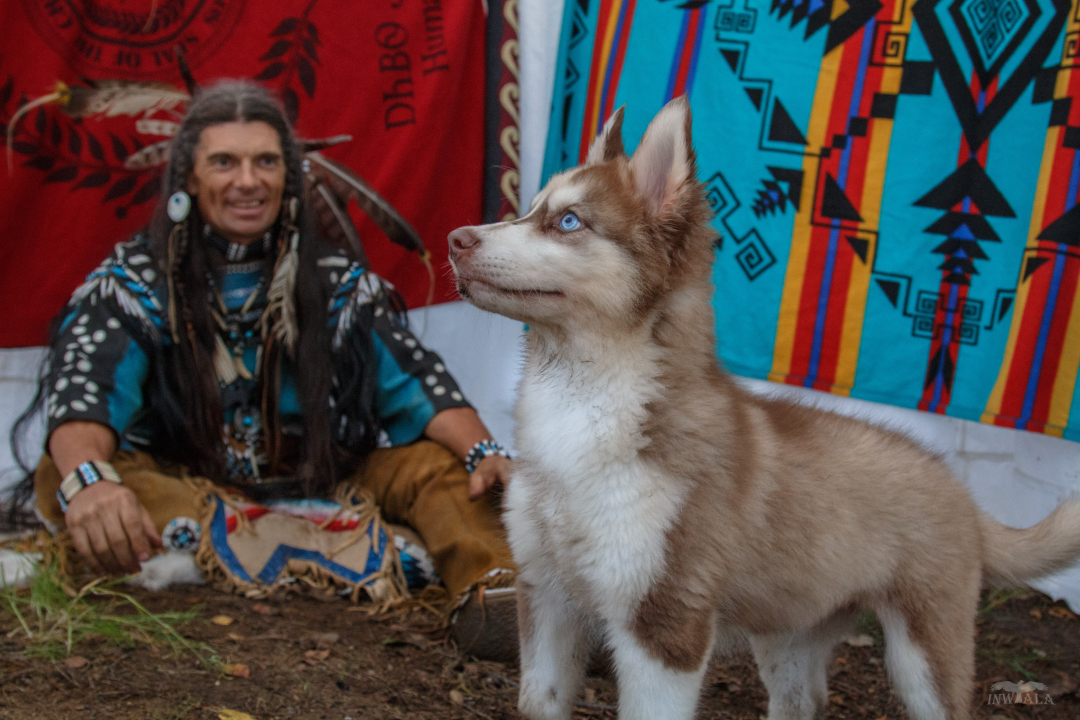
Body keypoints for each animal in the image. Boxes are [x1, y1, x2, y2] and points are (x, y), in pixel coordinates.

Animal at [446, 96, 1080, 720]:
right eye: (530, 210)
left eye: (569, 222)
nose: (455, 239)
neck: (579, 414)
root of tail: (963, 493)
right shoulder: (546, 599)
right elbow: (541, 700)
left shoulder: (666, 627)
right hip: (790, 633)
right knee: (802, 701)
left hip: (925, 655)